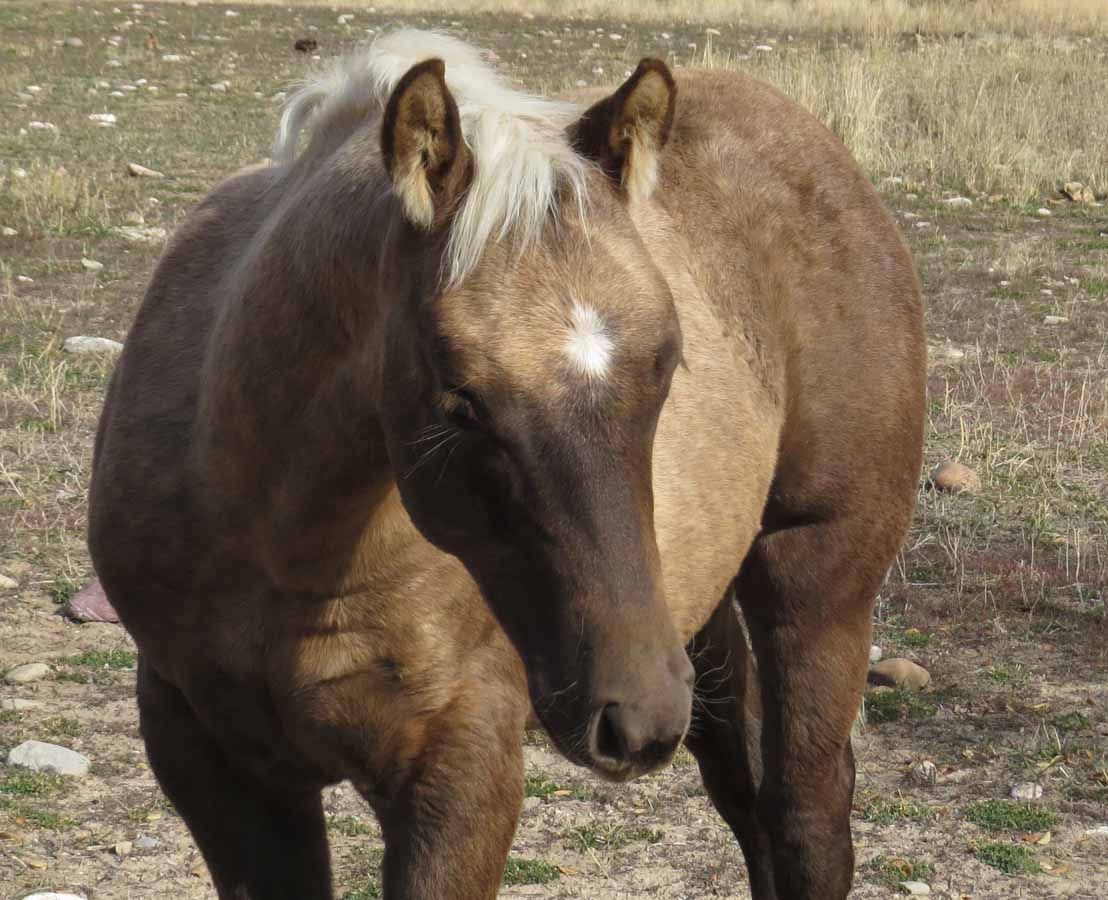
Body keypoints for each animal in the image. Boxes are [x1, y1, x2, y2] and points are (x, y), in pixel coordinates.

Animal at [88, 30, 925, 900]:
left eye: (667, 364)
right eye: (461, 400)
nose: (635, 717)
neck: (284, 555)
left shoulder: (462, 765)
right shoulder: (214, 763)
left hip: (814, 585)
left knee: (805, 815)